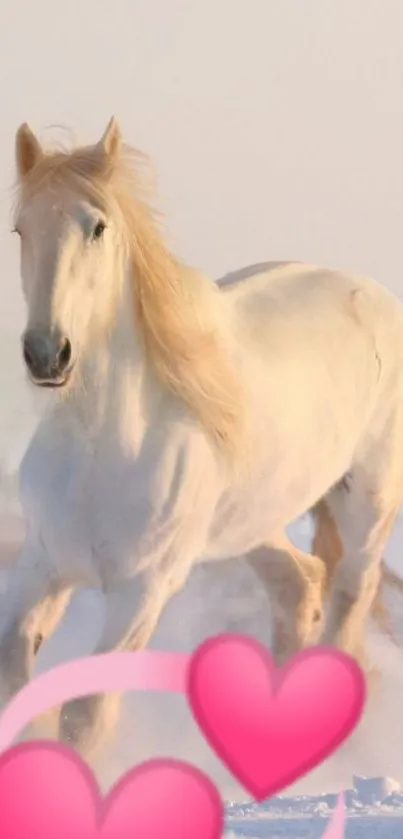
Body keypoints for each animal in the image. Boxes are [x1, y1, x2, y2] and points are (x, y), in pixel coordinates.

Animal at [3, 115, 403, 764]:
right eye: (20, 228)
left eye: (97, 227)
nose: (46, 353)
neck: (100, 450)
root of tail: (372, 291)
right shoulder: (43, 565)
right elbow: (20, 679)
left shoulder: (141, 593)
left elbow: (85, 716)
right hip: (253, 521)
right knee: (299, 586)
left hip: (367, 498)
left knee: (351, 595)